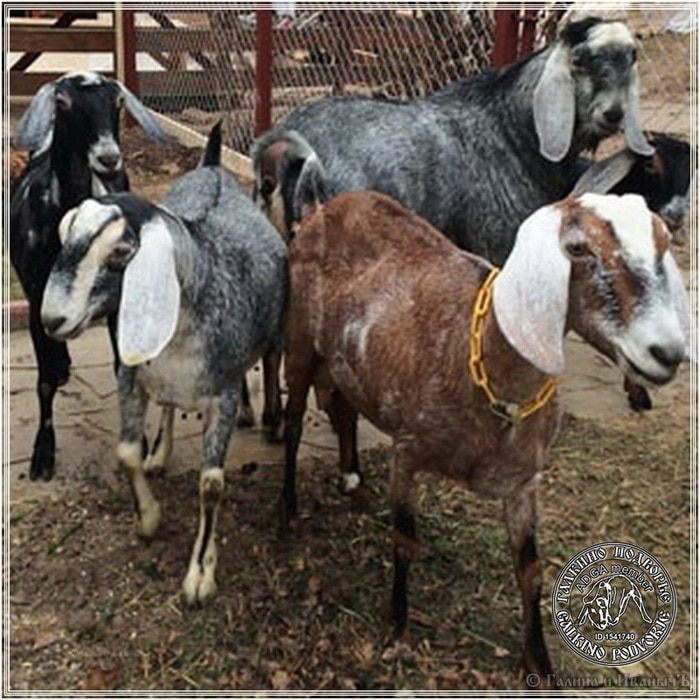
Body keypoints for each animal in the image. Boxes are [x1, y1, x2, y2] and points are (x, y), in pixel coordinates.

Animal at [10, 71, 171, 481]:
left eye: (118, 102)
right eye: (62, 103)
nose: (108, 158)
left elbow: (122, 367)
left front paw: (138, 442)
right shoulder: (37, 295)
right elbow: (44, 381)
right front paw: (42, 455)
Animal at [40, 126, 288, 604]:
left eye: (121, 251)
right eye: (67, 236)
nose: (52, 319)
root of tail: (212, 166)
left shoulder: (222, 392)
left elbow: (211, 485)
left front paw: (199, 576)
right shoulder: (131, 376)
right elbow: (126, 453)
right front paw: (149, 517)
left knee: (268, 360)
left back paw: (268, 417)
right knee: (170, 406)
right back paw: (162, 452)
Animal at [279, 183, 689, 684]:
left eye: (663, 245)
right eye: (576, 248)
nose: (666, 353)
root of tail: (329, 204)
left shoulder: (524, 481)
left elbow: (530, 570)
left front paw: (540, 663)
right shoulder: (406, 453)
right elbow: (403, 540)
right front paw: (396, 628)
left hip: (347, 362)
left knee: (344, 409)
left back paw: (352, 480)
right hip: (298, 340)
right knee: (294, 423)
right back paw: (288, 511)